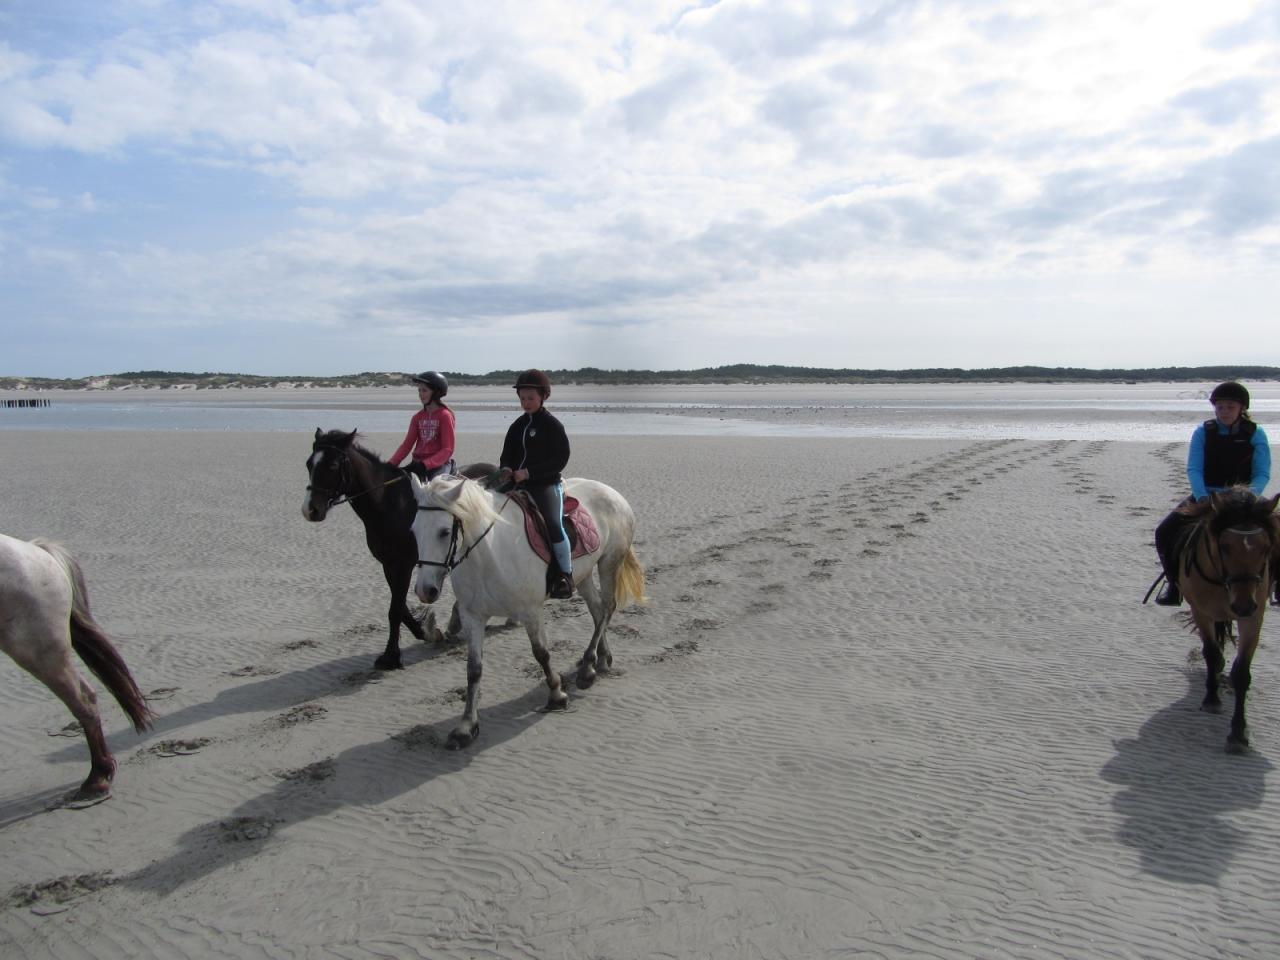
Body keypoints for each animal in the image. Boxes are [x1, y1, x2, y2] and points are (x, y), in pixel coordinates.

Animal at [409, 478, 645, 752]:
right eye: (414, 531)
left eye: (444, 532)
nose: (424, 590)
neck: (490, 554)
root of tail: (609, 490)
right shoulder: (473, 617)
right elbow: (473, 669)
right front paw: (465, 727)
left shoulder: (530, 611)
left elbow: (541, 654)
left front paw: (557, 694)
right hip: (583, 574)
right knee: (597, 611)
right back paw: (601, 658)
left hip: (609, 563)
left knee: (607, 607)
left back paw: (587, 668)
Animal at [1172, 491, 1274, 757]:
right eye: (1225, 547)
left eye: (1266, 547)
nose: (1244, 605)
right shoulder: (1201, 612)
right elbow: (1210, 652)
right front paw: (1212, 700)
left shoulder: (1252, 620)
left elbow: (1241, 674)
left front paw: (1238, 735)